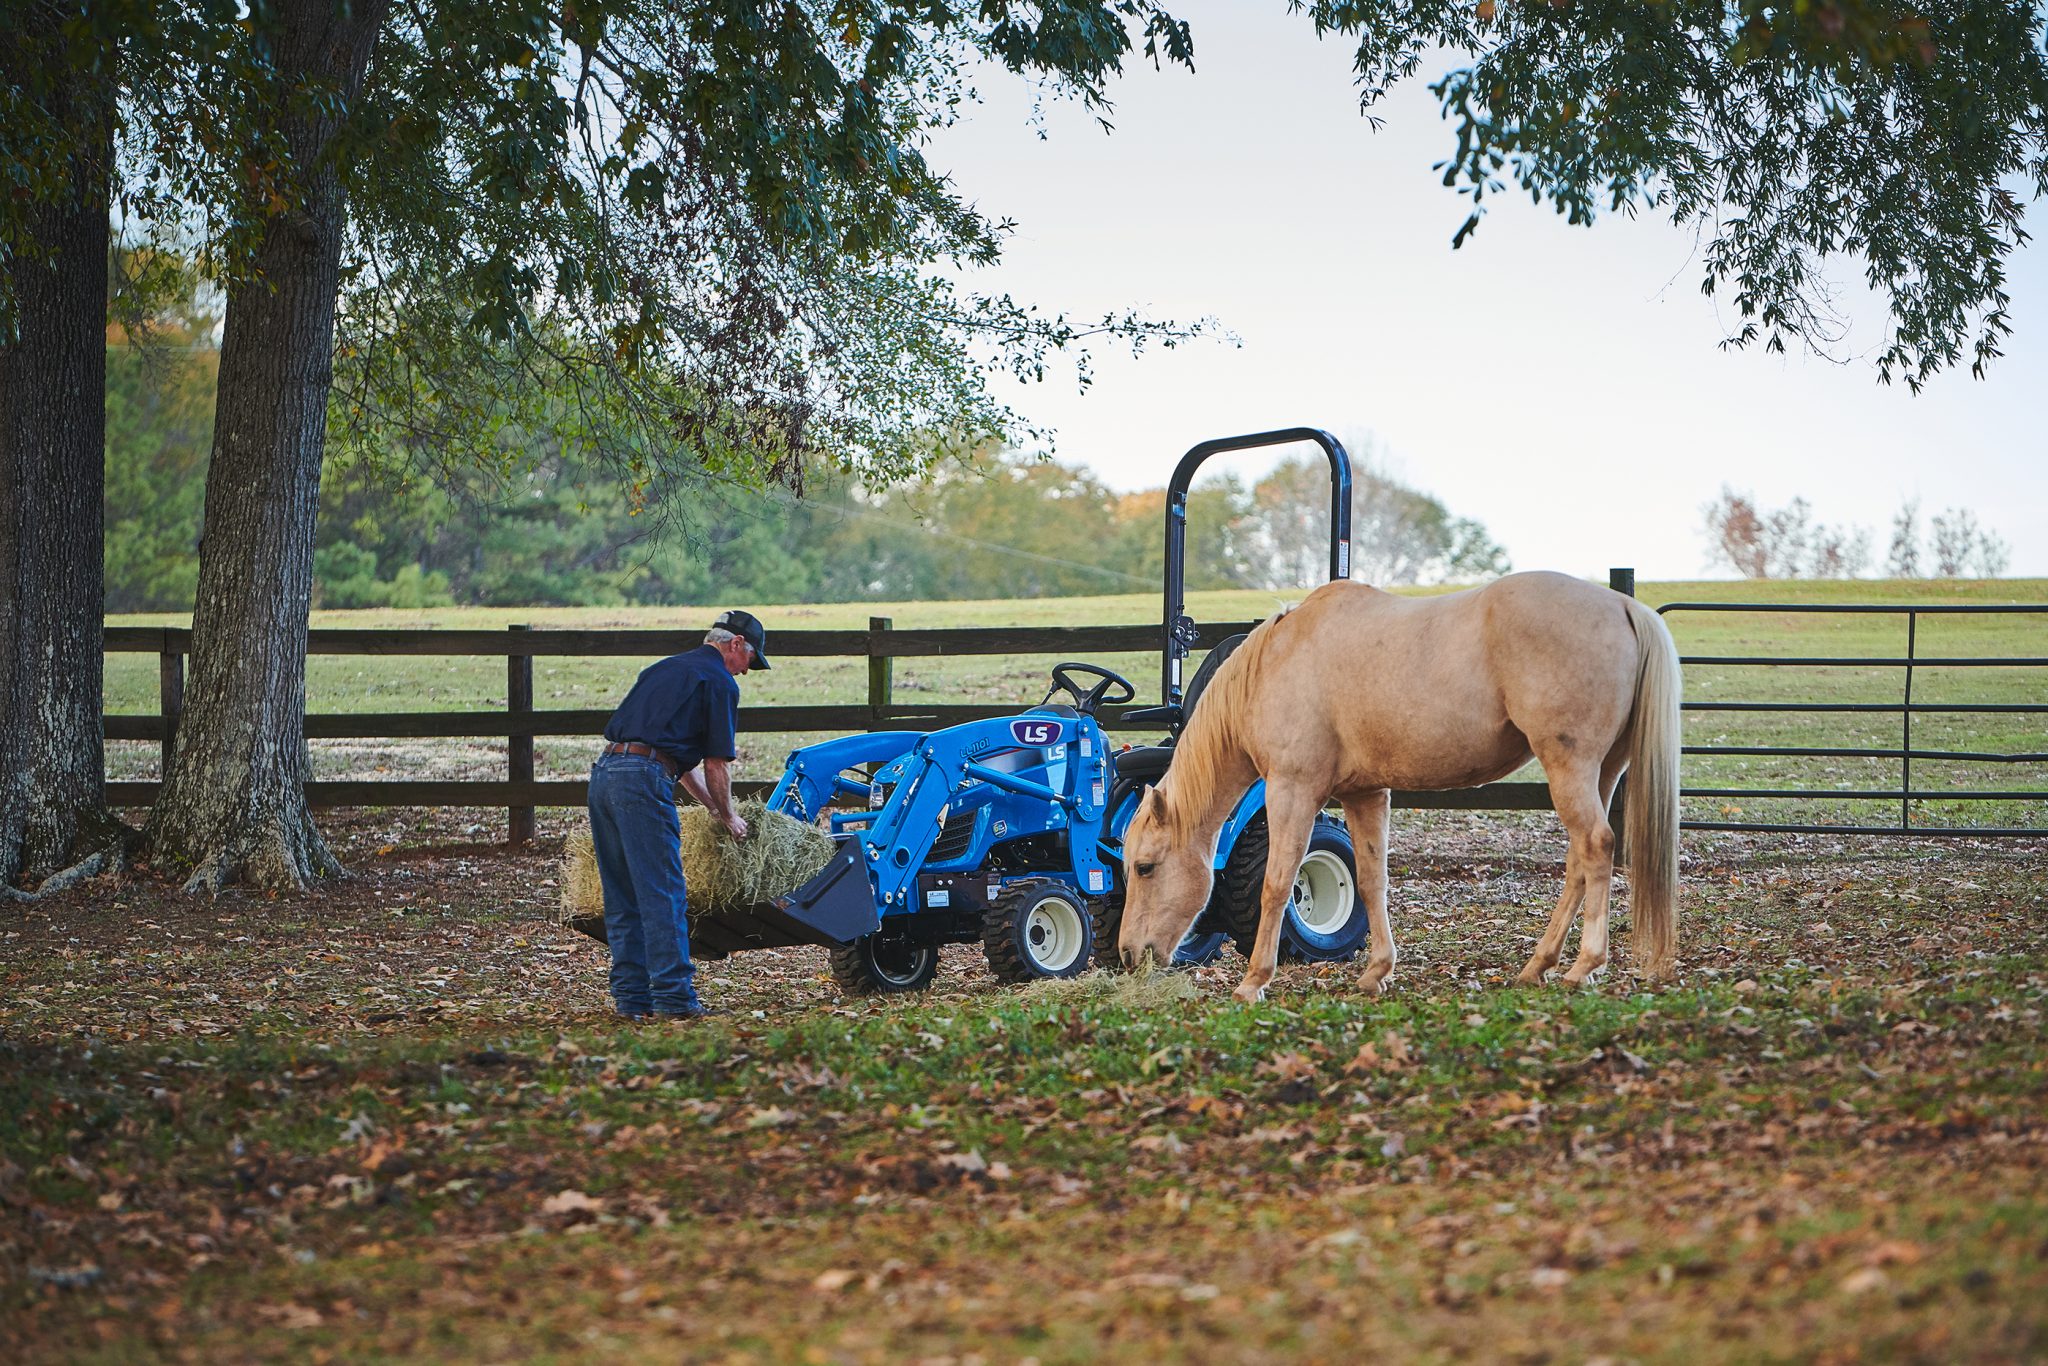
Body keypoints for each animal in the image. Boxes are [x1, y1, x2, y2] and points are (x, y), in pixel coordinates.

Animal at [1122, 573, 1679, 999]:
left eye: (1145, 867)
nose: (1128, 954)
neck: (1278, 661)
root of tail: (1625, 606)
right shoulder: (1364, 794)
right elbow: (1372, 880)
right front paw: (1376, 972)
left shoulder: (1291, 790)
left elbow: (1276, 884)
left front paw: (1254, 981)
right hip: (1601, 772)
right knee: (1578, 862)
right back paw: (1538, 965)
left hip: (1570, 767)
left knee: (1597, 846)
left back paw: (1584, 966)